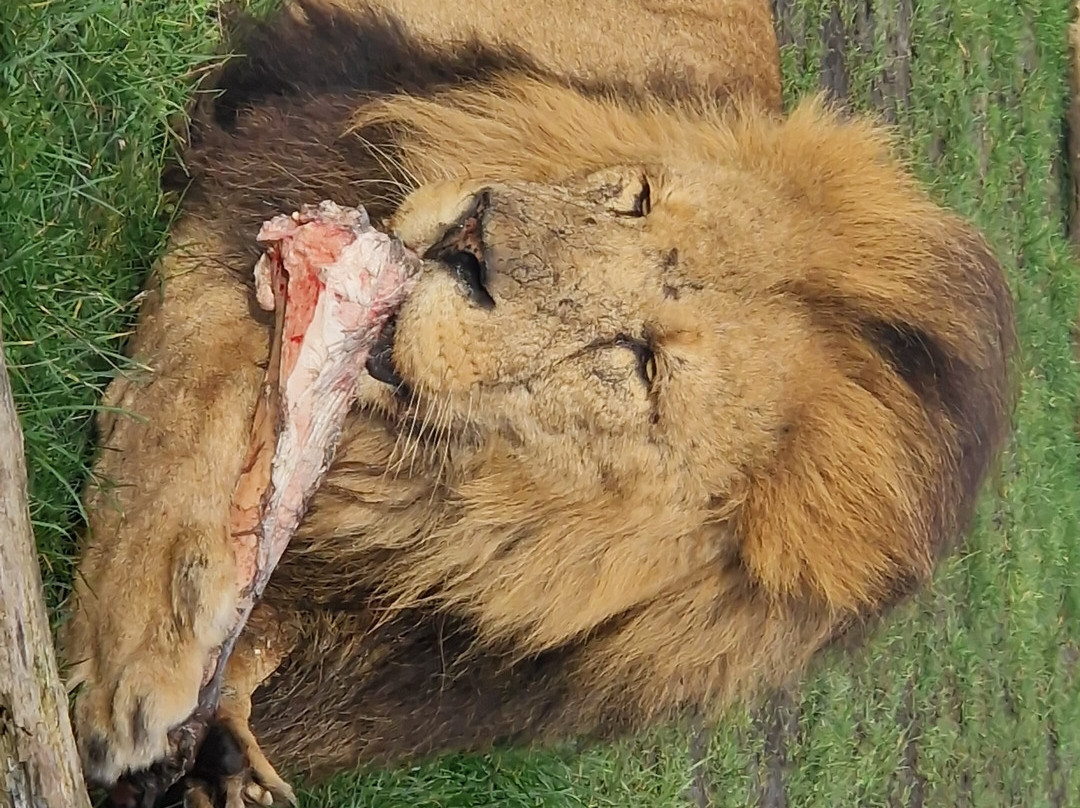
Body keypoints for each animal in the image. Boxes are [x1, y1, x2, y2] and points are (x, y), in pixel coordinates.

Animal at [60, 0, 1017, 804]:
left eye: (642, 362)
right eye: (635, 198)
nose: (470, 238)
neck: (433, 487)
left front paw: (223, 755)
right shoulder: (270, 158)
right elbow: (192, 410)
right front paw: (141, 653)